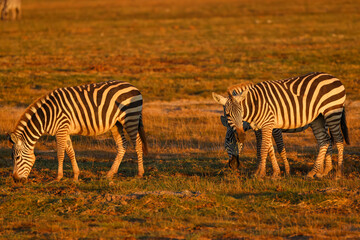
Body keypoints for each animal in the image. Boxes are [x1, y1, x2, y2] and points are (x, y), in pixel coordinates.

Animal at [6, 80, 146, 182]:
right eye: (12, 158)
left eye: (17, 157)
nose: (16, 180)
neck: (47, 116)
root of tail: (133, 87)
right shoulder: (65, 130)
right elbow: (70, 152)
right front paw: (75, 176)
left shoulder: (61, 129)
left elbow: (60, 153)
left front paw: (58, 177)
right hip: (116, 124)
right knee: (122, 145)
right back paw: (110, 174)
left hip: (130, 118)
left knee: (138, 143)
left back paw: (140, 174)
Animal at [214, 72, 348, 177]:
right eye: (228, 114)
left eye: (241, 112)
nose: (233, 165)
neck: (255, 106)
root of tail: (334, 77)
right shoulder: (260, 127)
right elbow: (266, 148)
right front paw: (269, 172)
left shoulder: (271, 125)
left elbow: (272, 147)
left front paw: (270, 173)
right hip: (318, 119)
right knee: (325, 141)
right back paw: (319, 172)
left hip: (332, 113)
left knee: (338, 139)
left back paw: (337, 172)